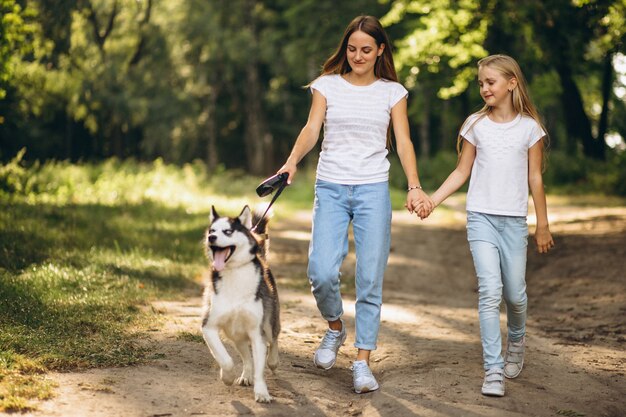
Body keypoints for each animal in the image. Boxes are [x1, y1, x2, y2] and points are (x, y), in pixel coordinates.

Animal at [201, 206, 280, 402]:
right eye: (212, 230)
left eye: (227, 231)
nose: (211, 238)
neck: (234, 272)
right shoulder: (208, 326)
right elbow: (225, 359)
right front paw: (227, 376)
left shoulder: (257, 332)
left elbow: (260, 368)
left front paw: (262, 392)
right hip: (235, 334)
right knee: (246, 356)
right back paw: (246, 375)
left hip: (270, 321)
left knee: (274, 339)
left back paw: (273, 361)